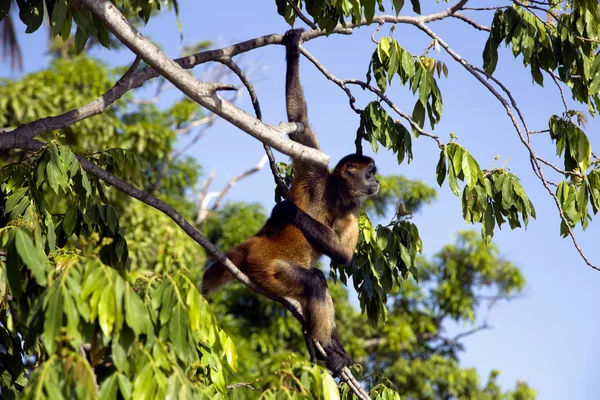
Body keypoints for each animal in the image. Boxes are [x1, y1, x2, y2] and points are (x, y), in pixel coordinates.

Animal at [202, 28, 380, 376]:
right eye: (370, 173)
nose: (377, 183)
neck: (335, 192)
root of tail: (251, 246)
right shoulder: (315, 171)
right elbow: (300, 121)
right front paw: (294, 47)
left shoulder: (355, 206)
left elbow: (342, 255)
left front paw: (288, 210)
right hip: (266, 267)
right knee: (314, 282)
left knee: (316, 283)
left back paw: (332, 348)